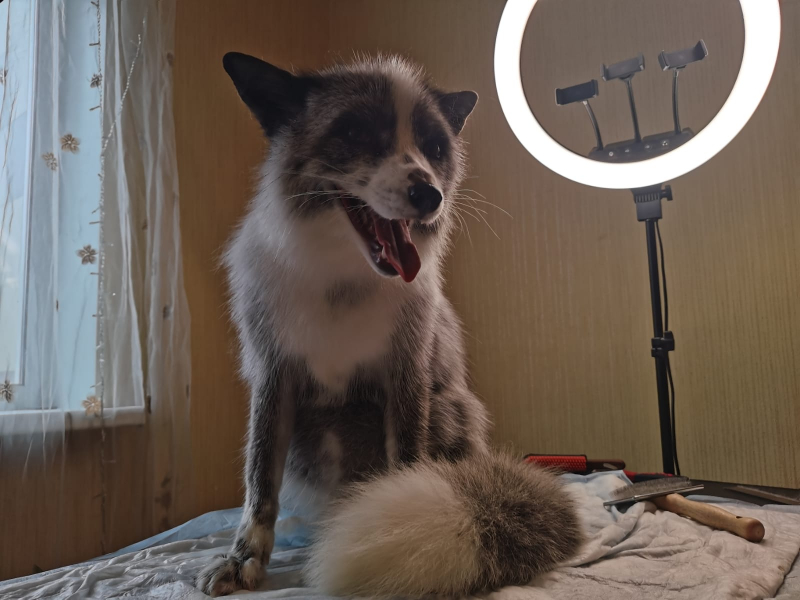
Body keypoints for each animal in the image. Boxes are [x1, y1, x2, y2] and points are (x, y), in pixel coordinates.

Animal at [195, 52, 583, 598]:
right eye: (354, 132)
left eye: (435, 147)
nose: (430, 195)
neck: (342, 276)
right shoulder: (274, 376)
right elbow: (259, 480)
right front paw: (244, 557)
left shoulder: (405, 377)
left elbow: (406, 460)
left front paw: (402, 511)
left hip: (450, 410)